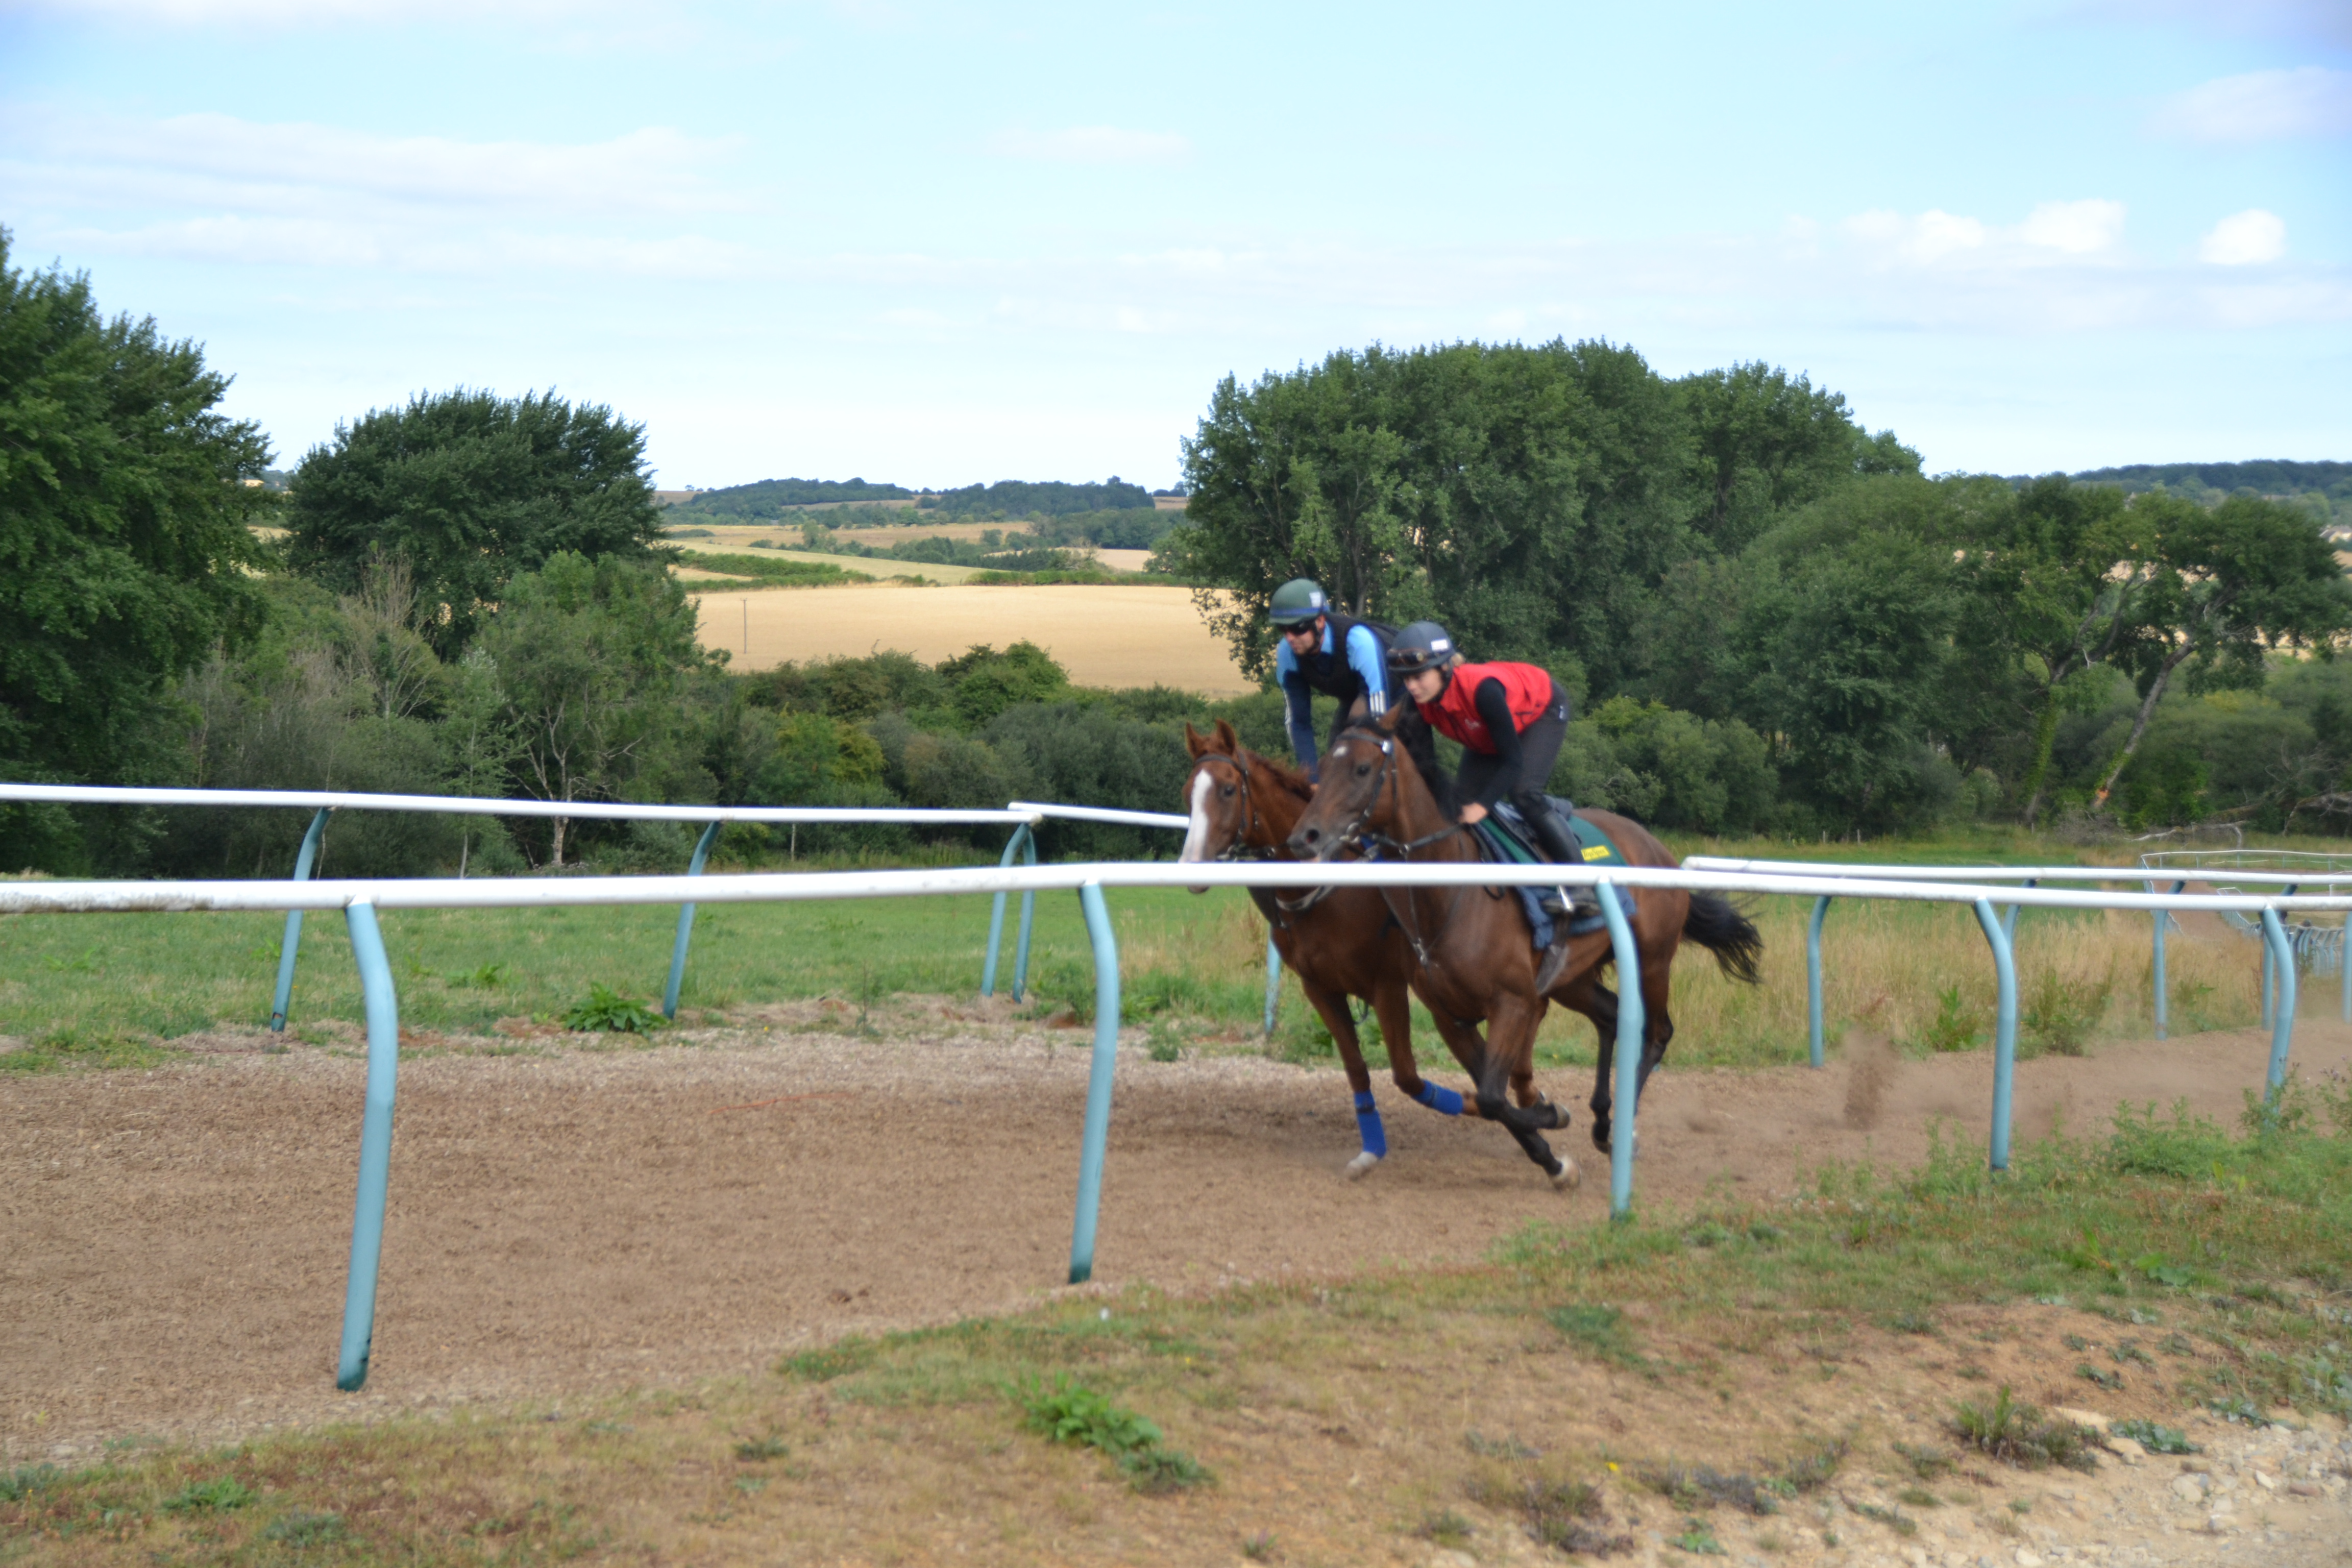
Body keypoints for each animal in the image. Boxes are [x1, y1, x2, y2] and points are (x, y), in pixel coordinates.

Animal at [1176, 724, 1486, 1175]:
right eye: (1188, 793)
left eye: (1229, 790)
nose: (1191, 868)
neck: (1325, 890)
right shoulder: (1320, 988)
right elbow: (1357, 1069)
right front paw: (1371, 1149)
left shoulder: (1388, 986)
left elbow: (1407, 1075)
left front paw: (1488, 1105)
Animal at [1289, 705, 1769, 1185]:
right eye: (1323, 767)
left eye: (1362, 769)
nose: (1304, 838)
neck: (1451, 893)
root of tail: (1657, 847)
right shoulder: (1452, 1018)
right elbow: (1492, 1095)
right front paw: (1552, 1156)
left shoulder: (1513, 1002)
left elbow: (1492, 1097)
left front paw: (1552, 1118)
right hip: (1571, 976)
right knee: (1610, 1016)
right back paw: (1601, 1120)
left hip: (1651, 959)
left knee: (1657, 1032)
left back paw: (1620, 1129)